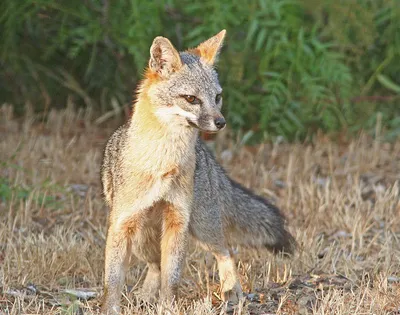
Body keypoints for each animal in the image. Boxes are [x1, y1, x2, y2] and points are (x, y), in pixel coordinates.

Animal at [100, 29, 294, 314]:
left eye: (217, 97)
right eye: (192, 99)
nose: (221, 122)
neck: (162, 164)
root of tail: (206, 153)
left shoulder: (178, 220)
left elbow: (172, 278)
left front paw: (168, 307)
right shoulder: (122, 223)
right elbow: (113, 281)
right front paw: (111, 308)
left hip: (201, 226)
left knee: (225, 250)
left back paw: (231, 291)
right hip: (141, 237)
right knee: (155, 264)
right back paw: (146, 297)